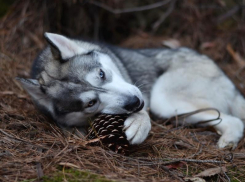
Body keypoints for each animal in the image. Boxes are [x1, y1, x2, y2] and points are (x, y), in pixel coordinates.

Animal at [19, 32, 245, 149]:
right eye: (91, 103)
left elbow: (143, 114)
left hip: (162, 99)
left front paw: (139, 124)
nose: (135, 102)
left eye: (101, 74)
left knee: (236, 121)